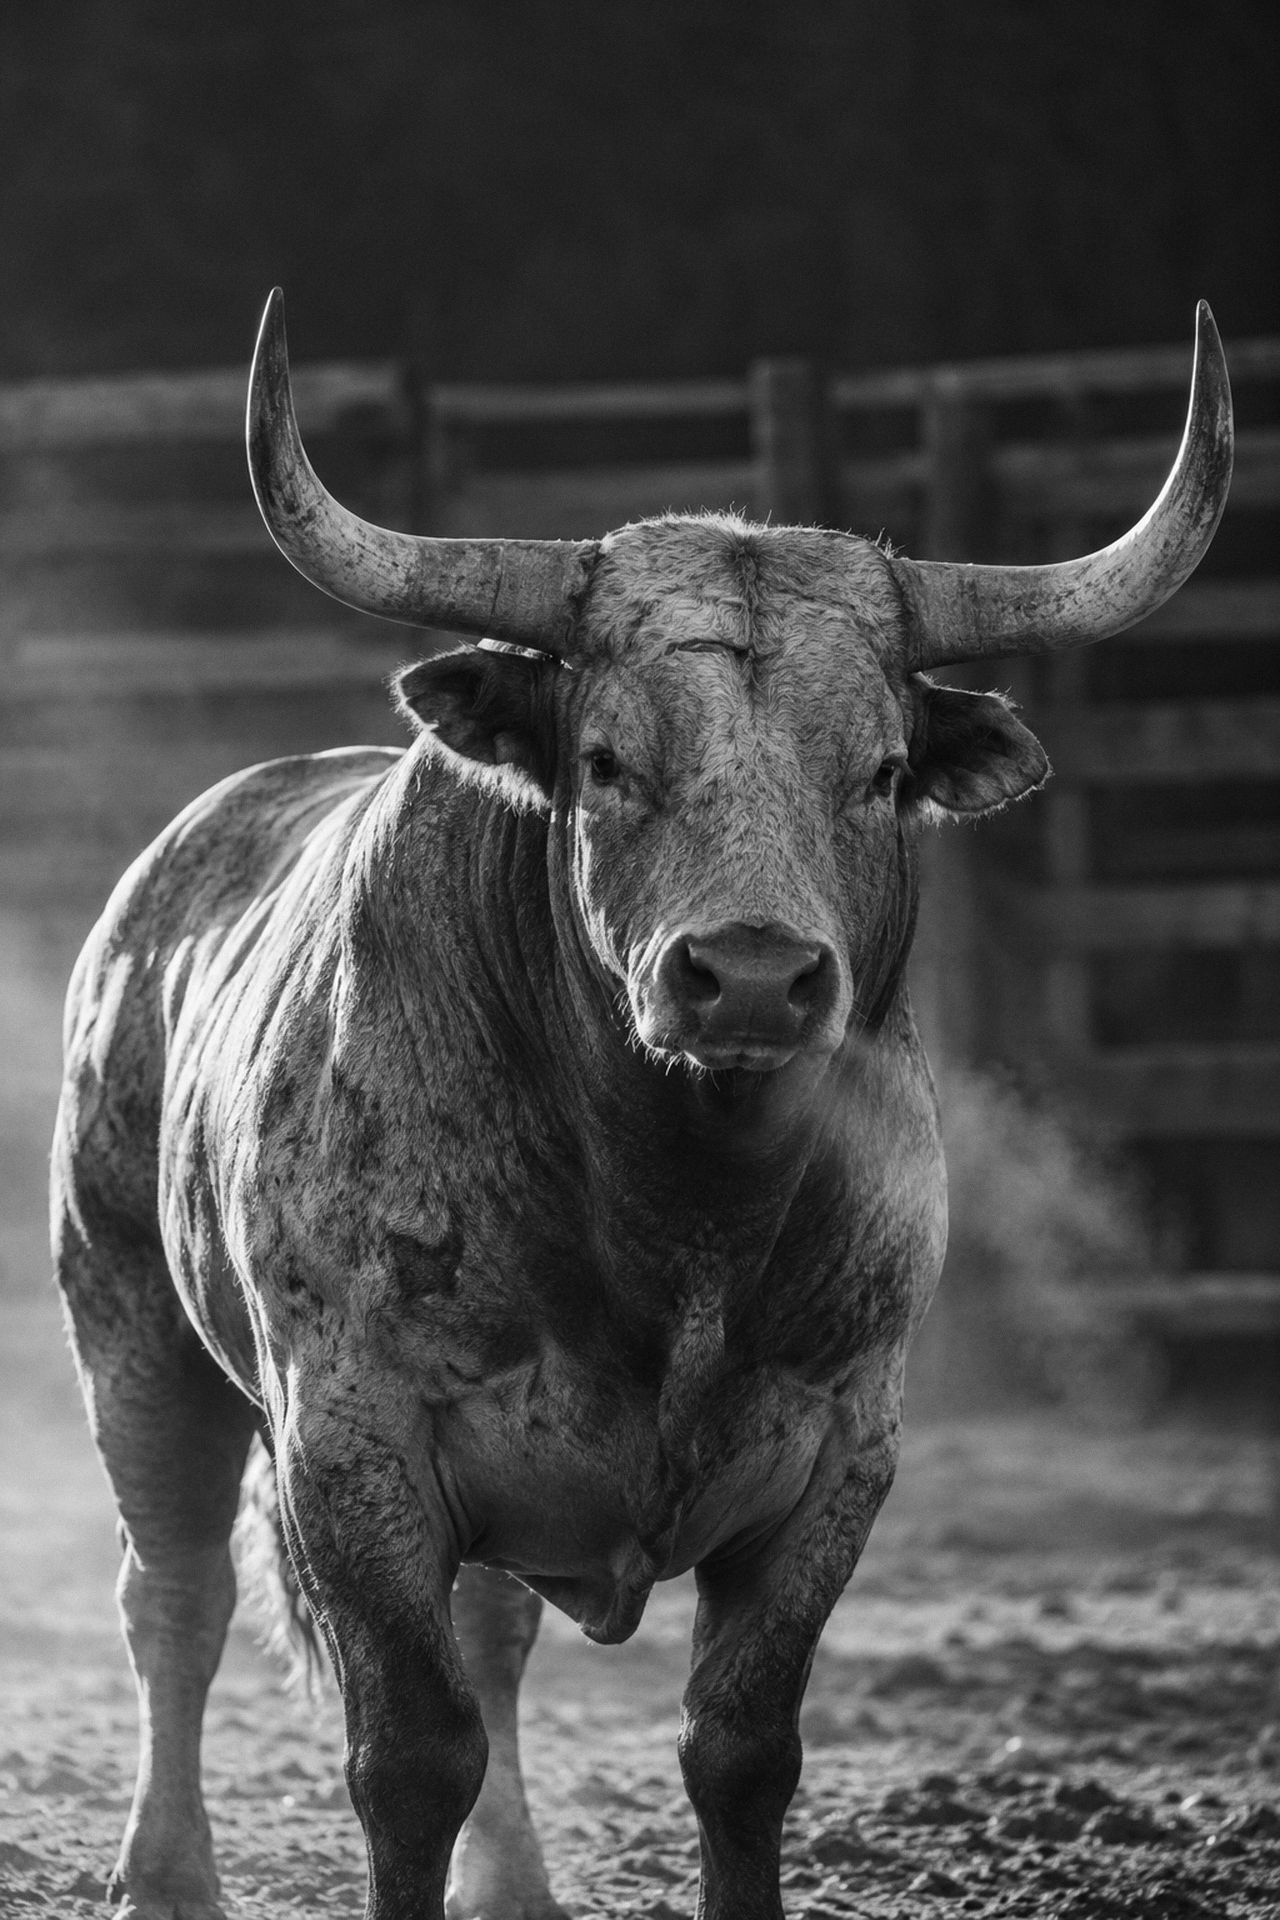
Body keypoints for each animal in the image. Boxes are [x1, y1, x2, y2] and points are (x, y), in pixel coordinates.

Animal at [52, 293, 1231, 1920]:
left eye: (880, 772)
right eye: (607, 762)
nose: (749, 978)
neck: (677, 1213)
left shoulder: (840, 1454)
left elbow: (737, 1750)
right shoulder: (353, 1438)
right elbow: (408, 1756)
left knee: (489, 1640)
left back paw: (514, 1884)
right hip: (128, 1327)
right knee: (175, 1595)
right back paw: (164, 1874)